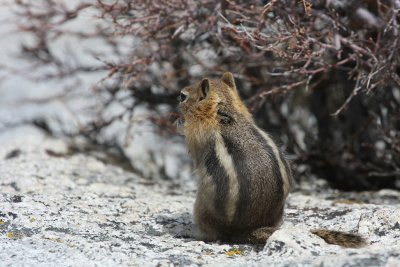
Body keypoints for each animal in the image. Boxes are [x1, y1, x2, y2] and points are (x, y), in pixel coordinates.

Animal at [177, 72, 366, 248]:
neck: (225, 109)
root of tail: (247, 230)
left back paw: (191, 233)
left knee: (212, 234)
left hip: (202, 207)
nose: (177, 99)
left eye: (182, 96)